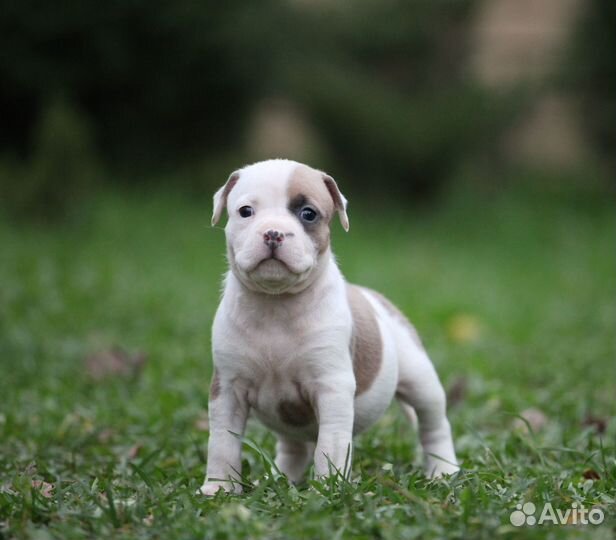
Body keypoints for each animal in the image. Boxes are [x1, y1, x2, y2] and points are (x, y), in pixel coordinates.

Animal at [199, 158, 458, 496]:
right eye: (245, 211)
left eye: (308, 214)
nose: (273, 233)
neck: (276, 304)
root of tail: (377, 298)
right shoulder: (228, 390)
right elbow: (222, 442)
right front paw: (218, 488)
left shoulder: (331, 387)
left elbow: (330, 446)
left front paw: (328, 490)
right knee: (293, 447)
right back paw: (280, 479)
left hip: (421, 380)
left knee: (435, 425)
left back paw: (444, 470)